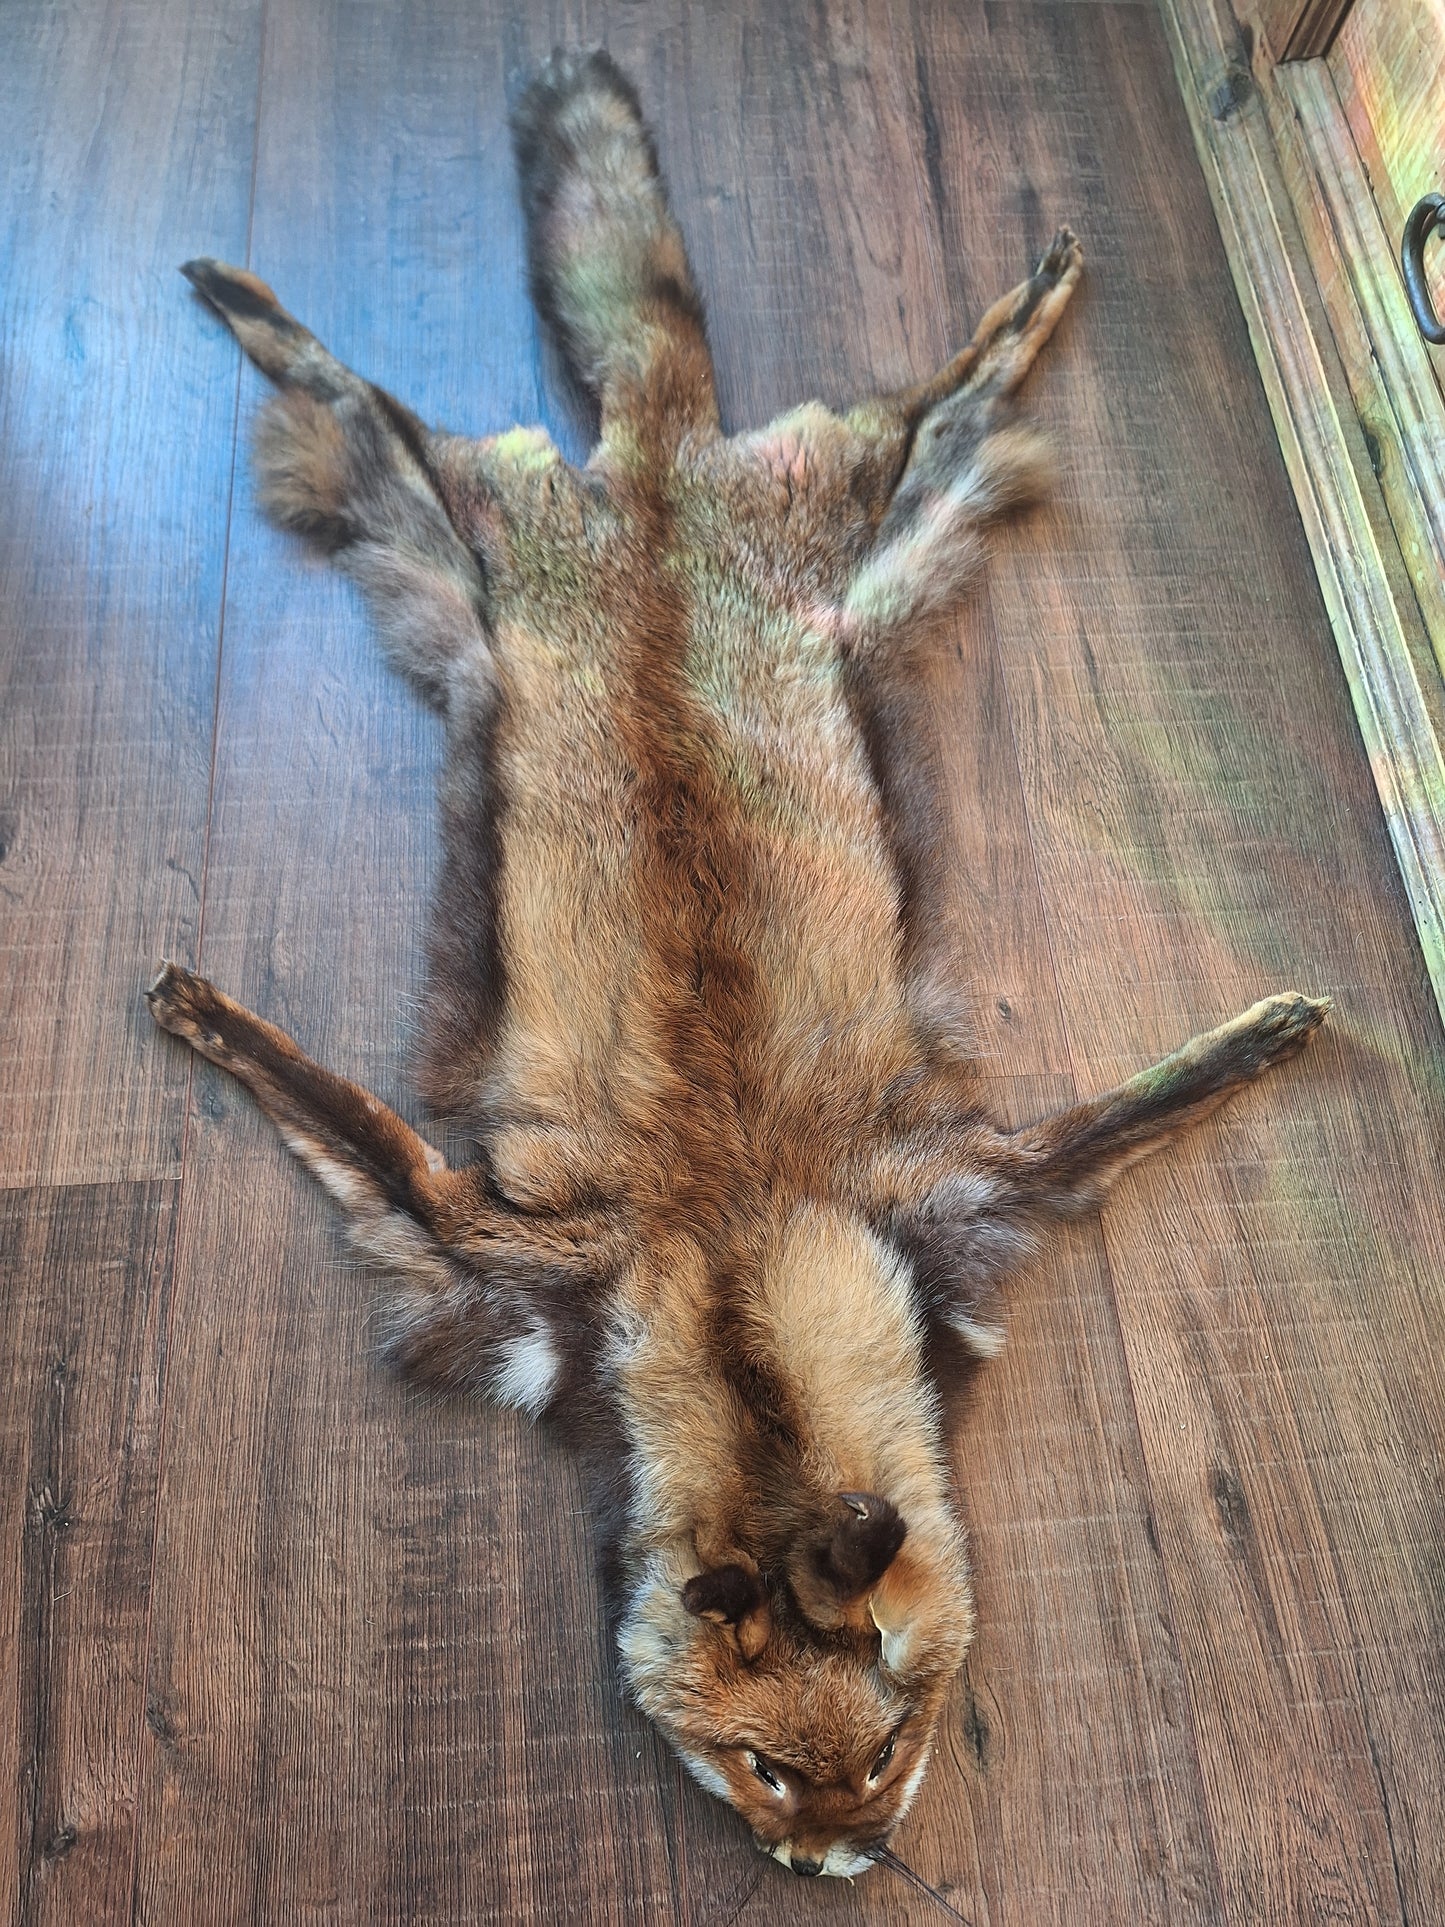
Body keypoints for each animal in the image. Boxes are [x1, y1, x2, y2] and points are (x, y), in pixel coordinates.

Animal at [148, 49, 1329, 1881]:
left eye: (891, 1745)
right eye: (766, 1770)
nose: (838, 1867)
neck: (735, 1238)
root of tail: (654, 480)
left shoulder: (964, 1185)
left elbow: (1129, 1109)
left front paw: (1260, 1032)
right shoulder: (490, 1245)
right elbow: (338, 1111)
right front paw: (211, 1015)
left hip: (870, 547)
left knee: (948, 408)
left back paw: (1031, 295)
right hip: (442, 539)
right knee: (354, 392)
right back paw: (249, 301)